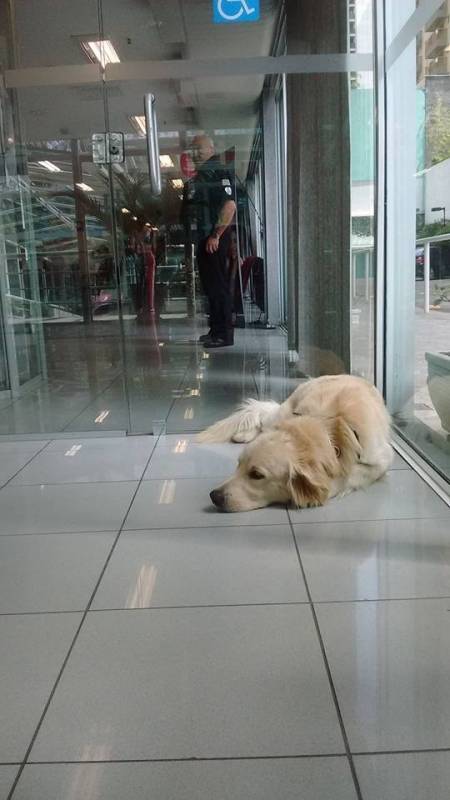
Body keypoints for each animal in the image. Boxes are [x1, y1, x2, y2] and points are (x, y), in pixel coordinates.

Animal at [198, 376, 394, 512]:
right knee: (263, 415)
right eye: (238, 465)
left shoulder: (383, 459)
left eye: (256, 475)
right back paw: (243, 435)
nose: (214, 496)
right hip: (282, 413)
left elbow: (352, 473)